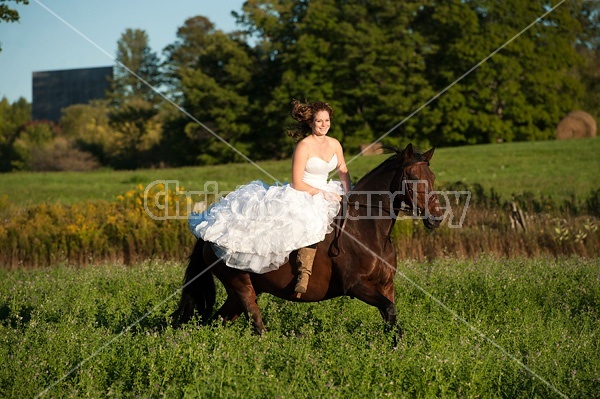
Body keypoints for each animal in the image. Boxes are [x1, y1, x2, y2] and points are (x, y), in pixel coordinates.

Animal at [171, 144, 442, 340]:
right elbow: (389, 311)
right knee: (256, 327)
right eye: (413, 177)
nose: (436, 218)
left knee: (216, 321)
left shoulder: (386, 286)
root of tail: (206, 234)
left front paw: (397, 351)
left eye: (432, 176)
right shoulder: (355, 286)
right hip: (241, 286)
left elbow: (391, 316)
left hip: (242, 292)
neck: (369, 231)